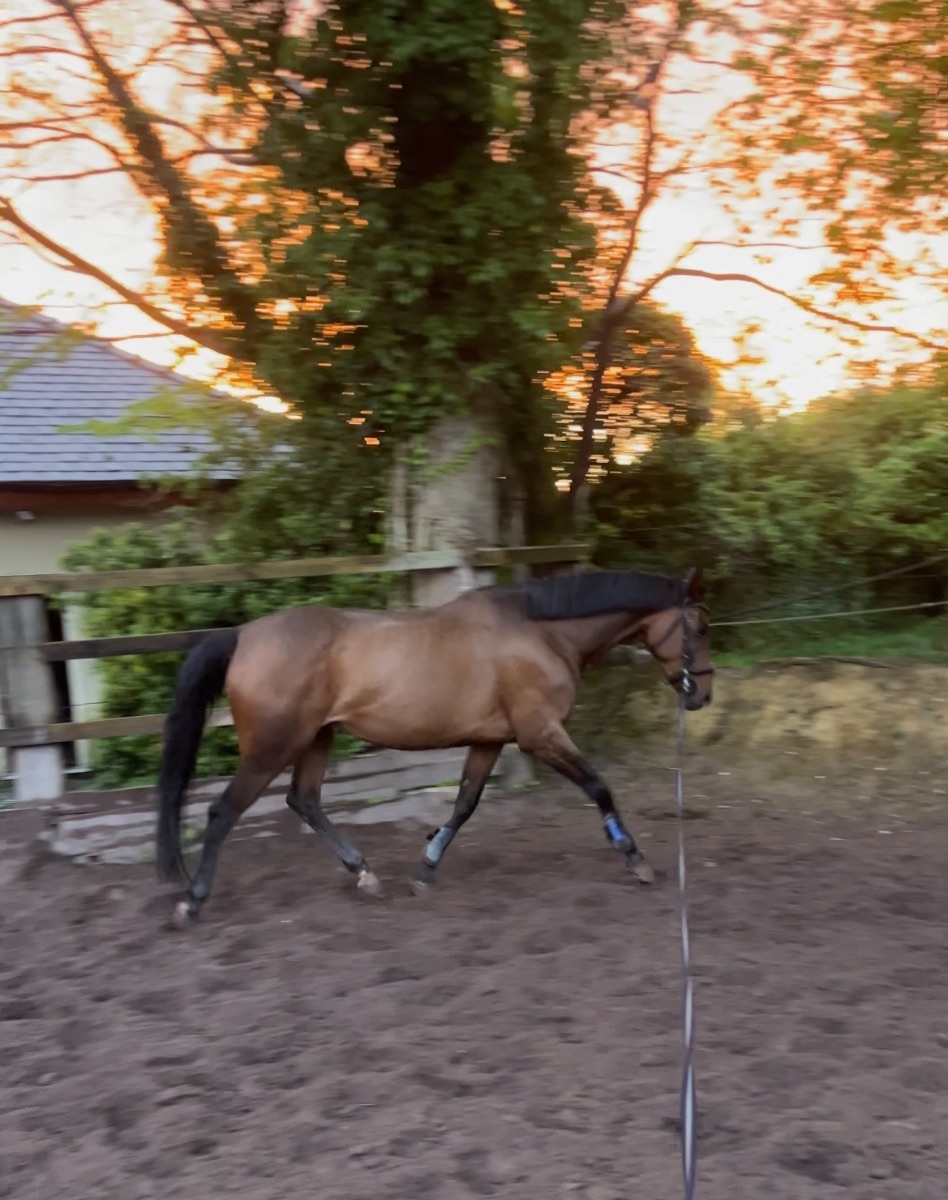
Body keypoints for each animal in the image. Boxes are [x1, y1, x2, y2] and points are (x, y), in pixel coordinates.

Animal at [155, 565, 713, 926]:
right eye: (700, 626)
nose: (702, 694)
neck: (543, 634)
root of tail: (243, 636)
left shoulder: (490, 740)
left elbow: (464, 804)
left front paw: (425, 869)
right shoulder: (540, 734)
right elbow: (599, 787)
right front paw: (634, 858)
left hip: (317, 737)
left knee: (304, 799)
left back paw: (364, 874)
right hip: (272, 747)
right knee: (224, 812)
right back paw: (192, 901)